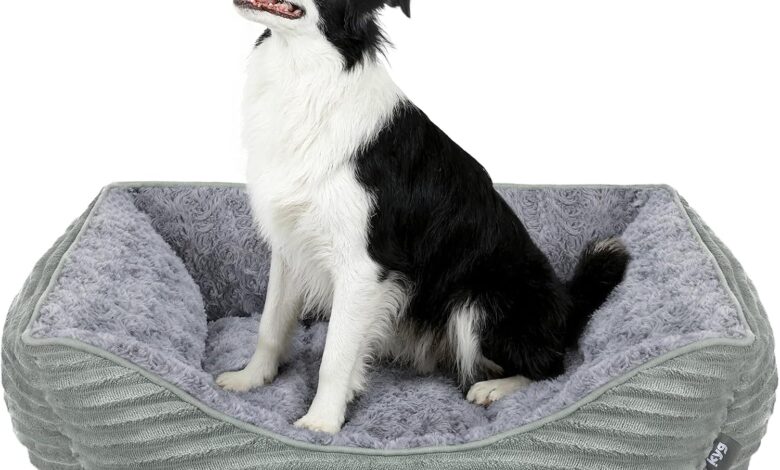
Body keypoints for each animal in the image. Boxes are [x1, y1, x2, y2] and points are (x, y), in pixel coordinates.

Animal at [217, 0, 630, 435]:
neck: (304, 72)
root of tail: (566, 303)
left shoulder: (363, 265)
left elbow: (335, 355)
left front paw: (321, 422)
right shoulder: (289, 247)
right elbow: (271, 324)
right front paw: (251, 379)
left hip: (478, 301)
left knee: (551, 367)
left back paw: (493, 388)